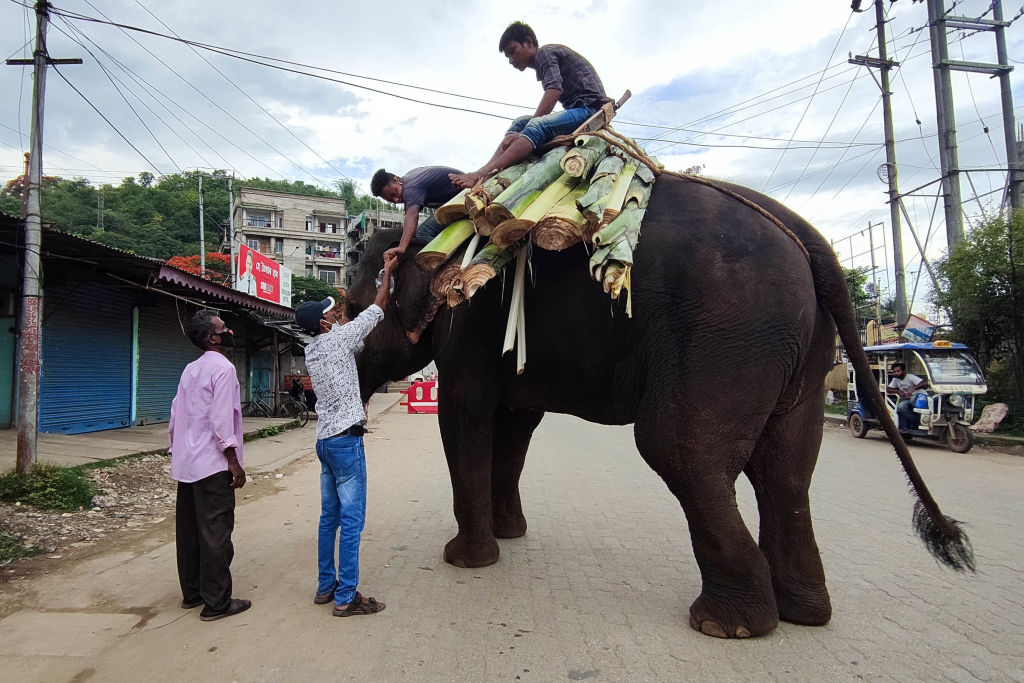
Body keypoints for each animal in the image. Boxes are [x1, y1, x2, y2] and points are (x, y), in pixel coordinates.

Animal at [346, 172, 974, 643]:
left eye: (355, 308)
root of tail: (806, 236)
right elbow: (516, 427)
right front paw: (510, 535)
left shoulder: (469, 319)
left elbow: (466, 414)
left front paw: (465, 560)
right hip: (799, 351)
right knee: (787, 467)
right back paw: (802, 613)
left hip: (726, 330)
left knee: (680, 449)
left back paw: (729, 625)